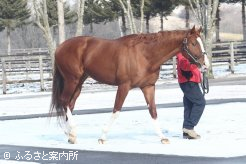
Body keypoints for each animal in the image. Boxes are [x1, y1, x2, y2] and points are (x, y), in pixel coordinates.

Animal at [49, 25, 209, 144]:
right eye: (193, 43)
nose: (205, 65)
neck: (145, 55)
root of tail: (60, 47)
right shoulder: (124, 86)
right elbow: (116, 110)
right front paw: (102, 137)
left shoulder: (148, 87)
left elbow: (153, 111)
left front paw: (163, 138)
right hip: (72, 80)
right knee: (64, 101)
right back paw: (72, 133)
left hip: (79, 83)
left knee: (69, 104)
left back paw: (70, 135)